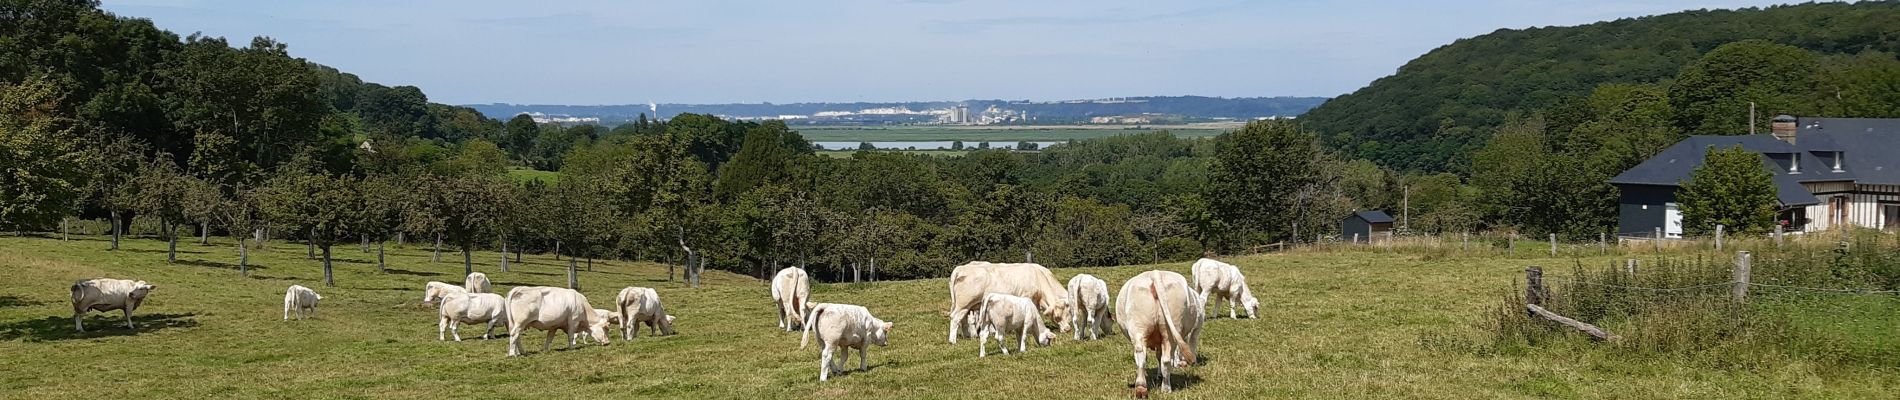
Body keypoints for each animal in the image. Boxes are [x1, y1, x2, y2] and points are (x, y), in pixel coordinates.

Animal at [946, 261, 1079, 343]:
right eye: (1057, 317)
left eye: (1069, 314)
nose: (1067, 329)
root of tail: (960, 268)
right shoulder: (1027, 298)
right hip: (963, 304)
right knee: (955, 318)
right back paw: (953, 340)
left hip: (967, 306)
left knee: (963, 320)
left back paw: (968, 336)